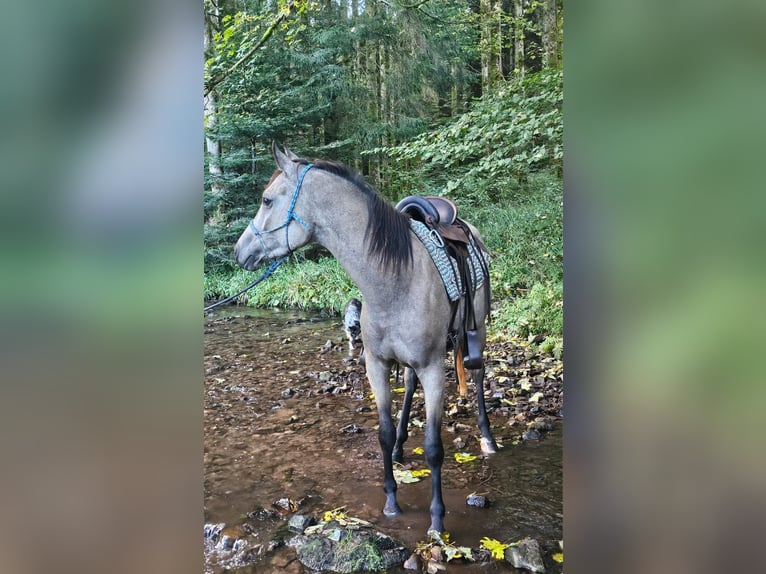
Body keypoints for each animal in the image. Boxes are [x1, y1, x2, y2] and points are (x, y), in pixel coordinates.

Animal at [235, 143, 497, 535]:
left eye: (267, 200)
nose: (239, 251)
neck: (393, 280)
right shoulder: (377, 364)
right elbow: (383, 433)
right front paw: (391, 501)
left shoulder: (434, 369)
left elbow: (434, 448)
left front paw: (437, 519)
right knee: (409, 384)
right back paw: (402, 447)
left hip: (476, 329)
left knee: (478, 375)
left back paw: (487, 438)